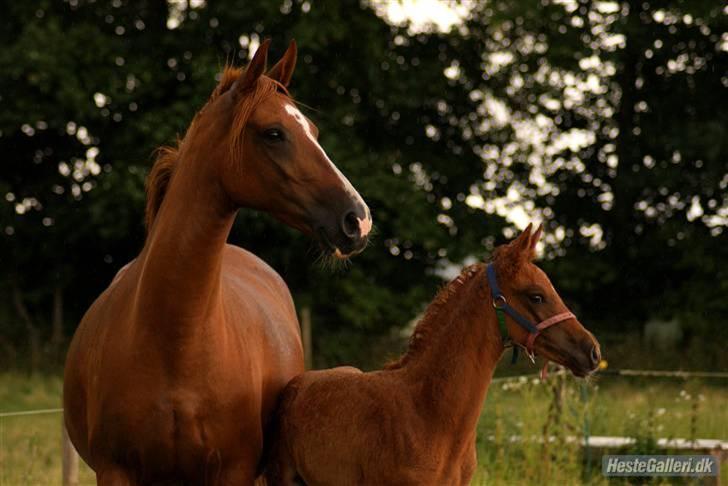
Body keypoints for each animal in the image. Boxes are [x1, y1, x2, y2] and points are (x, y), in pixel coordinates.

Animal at [63, 39, 372, 484]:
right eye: (274, 133)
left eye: (312, 132)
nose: (358, 219)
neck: (177, 341)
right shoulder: (115, 471)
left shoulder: (234, 471)